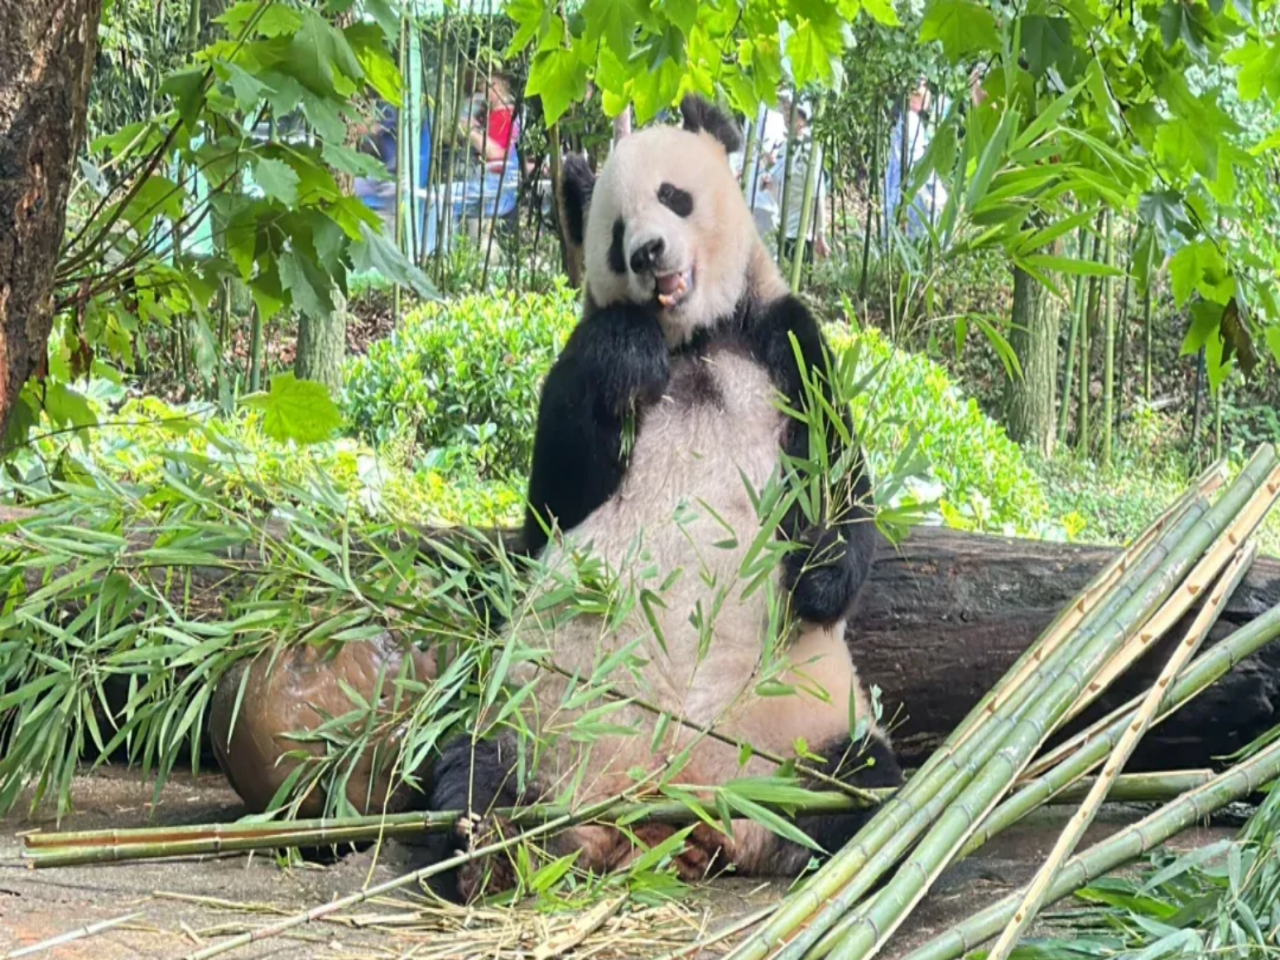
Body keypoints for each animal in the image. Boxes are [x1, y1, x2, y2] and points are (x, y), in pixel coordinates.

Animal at [429, 95, 901, 902]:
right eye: (617, 234)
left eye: (674, 196)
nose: (650, 253)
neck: (696, 339)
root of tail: (674, 816)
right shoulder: (584, 349)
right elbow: (554, 499)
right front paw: (628, 352)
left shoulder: (783, 340)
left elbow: (839, 476)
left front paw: (816, 579)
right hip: (537, 721)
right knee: (468, 768)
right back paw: (484, 846)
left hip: (802, 730)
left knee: (864, 784)